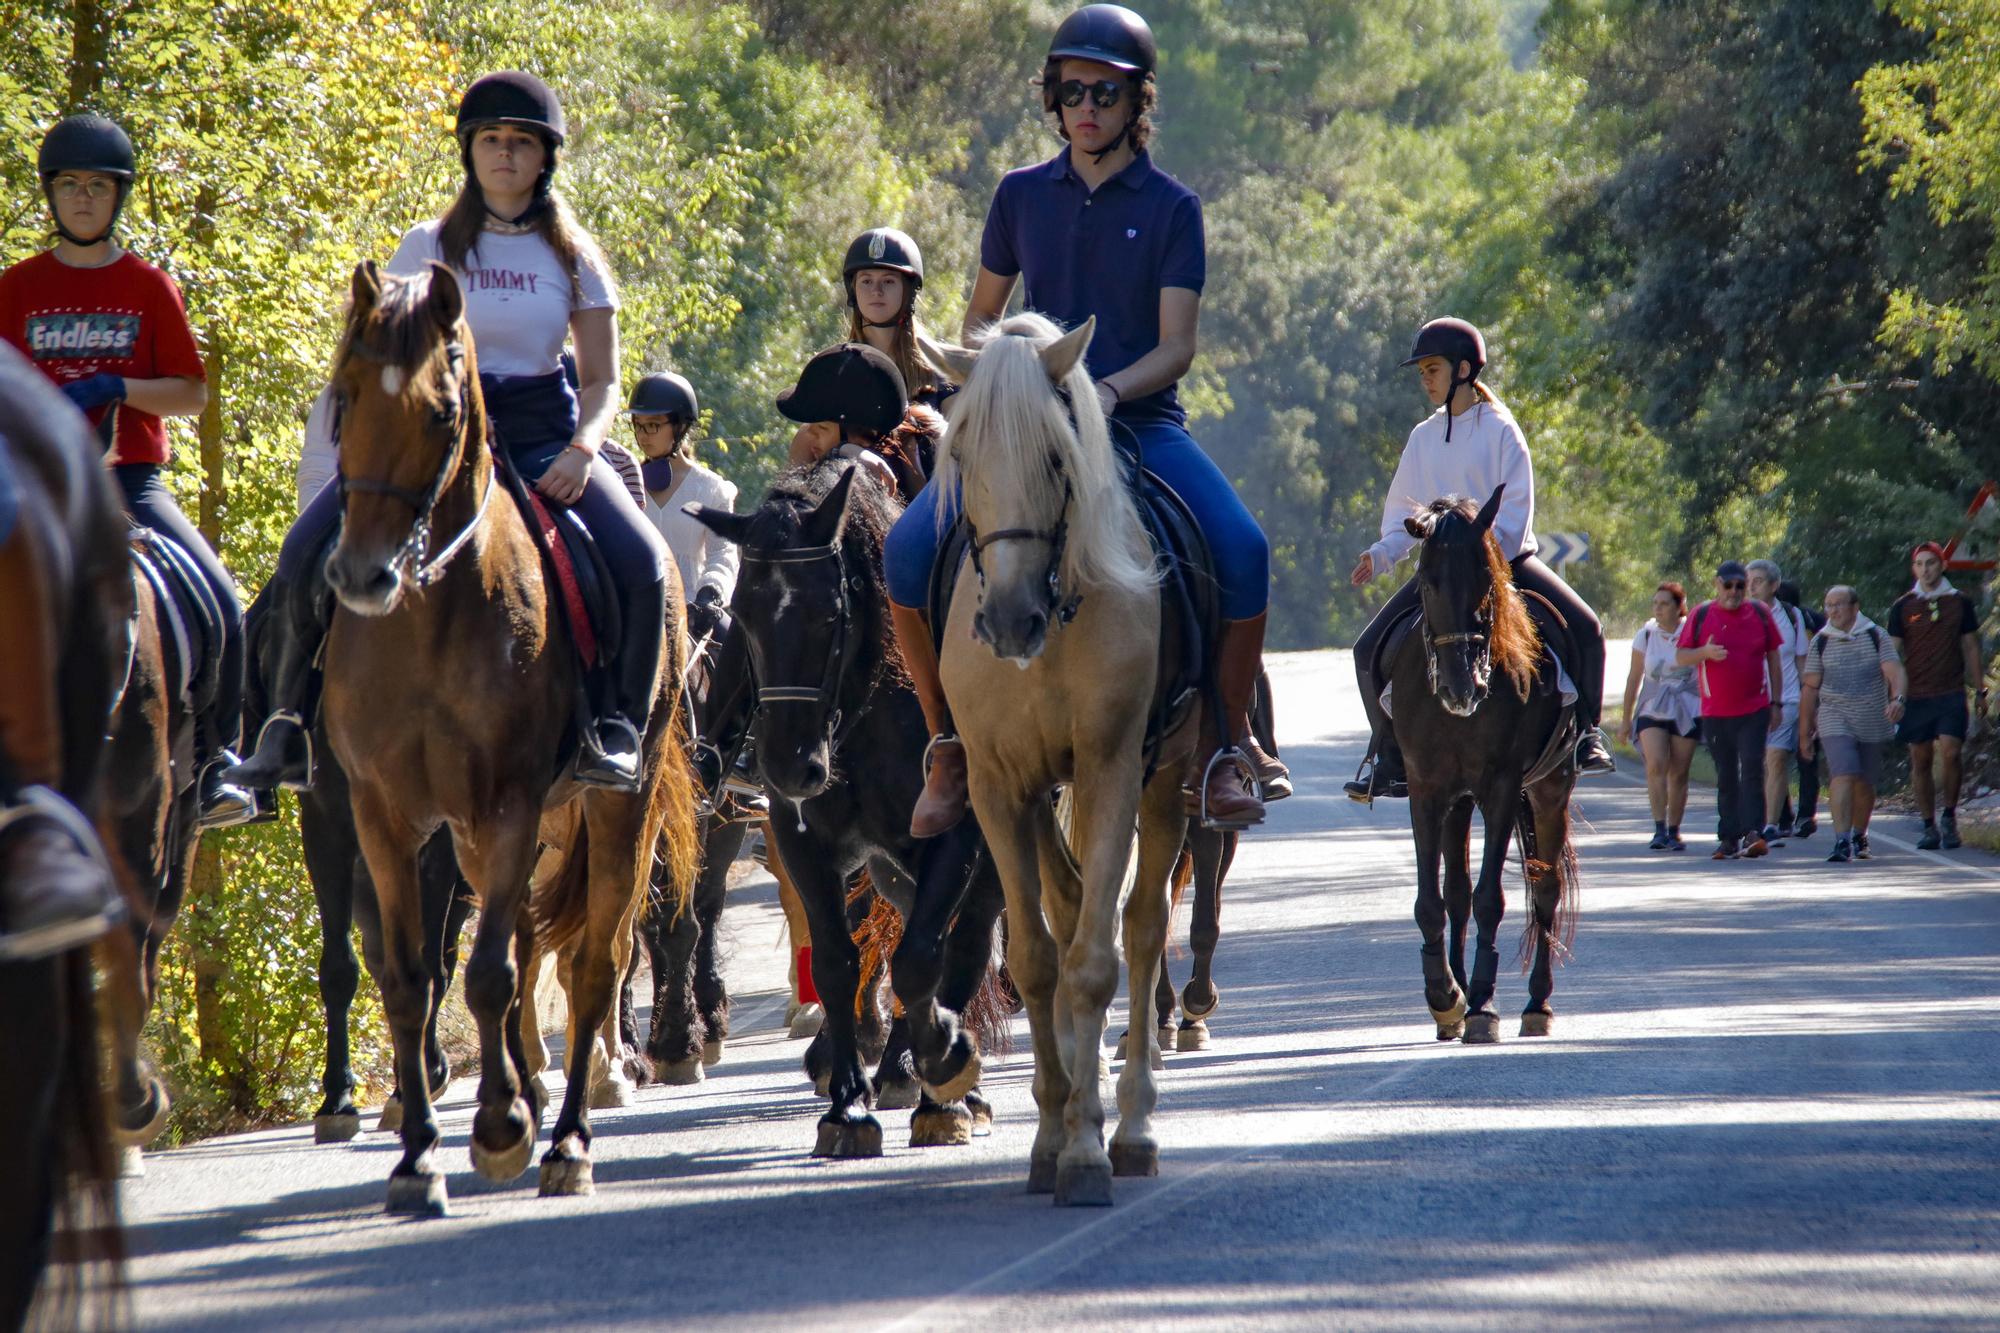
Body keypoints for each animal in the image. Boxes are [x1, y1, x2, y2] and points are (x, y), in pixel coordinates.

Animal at [322, 262, 704, 1216]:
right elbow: (410, 975)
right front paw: (419, 1156)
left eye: (442, 413)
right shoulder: (385, 817)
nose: (363, 575)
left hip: (615, 808)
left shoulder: (509, 806)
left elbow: (494, 970)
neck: (429, 613)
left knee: (597, 961)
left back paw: (567, 1138)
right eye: (345, 398)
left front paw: (500, 1128)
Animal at [692, 462, 1008, 1144]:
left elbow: (922, 959)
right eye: (744, 613)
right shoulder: (803, 842)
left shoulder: (957, 837)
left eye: (828, 613)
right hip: (889, 868)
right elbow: (840, 962)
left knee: (967, 945)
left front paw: (943, 1067)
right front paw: (847, 1105)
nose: (791, 765)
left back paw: (945, 1085)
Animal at [920, 314, 1184, 1200]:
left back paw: (1132, 1124)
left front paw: (1087, 1152)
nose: (1008, 620)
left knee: (1141, 926)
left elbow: (1096, 961)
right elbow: (1038, 961)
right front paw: (1051, 1133)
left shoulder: (1110, 769)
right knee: (1069, 917)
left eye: (1055, 457)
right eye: (962, 452)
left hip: (1170, 778)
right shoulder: (1002, 789)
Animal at [1392, 486, 1576, 1040]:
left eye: (1485, 579)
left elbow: (1491, 898)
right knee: (1456, 893)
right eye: (1428, 582)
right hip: (1459, 802)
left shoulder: (1500, 788)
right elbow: (1432, 900)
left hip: (1550, 788)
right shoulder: (1427, 790)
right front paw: (1445, 997)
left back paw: (1537, 1004)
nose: (1462, 688)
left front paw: (1482, 1005)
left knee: (1546, 888)